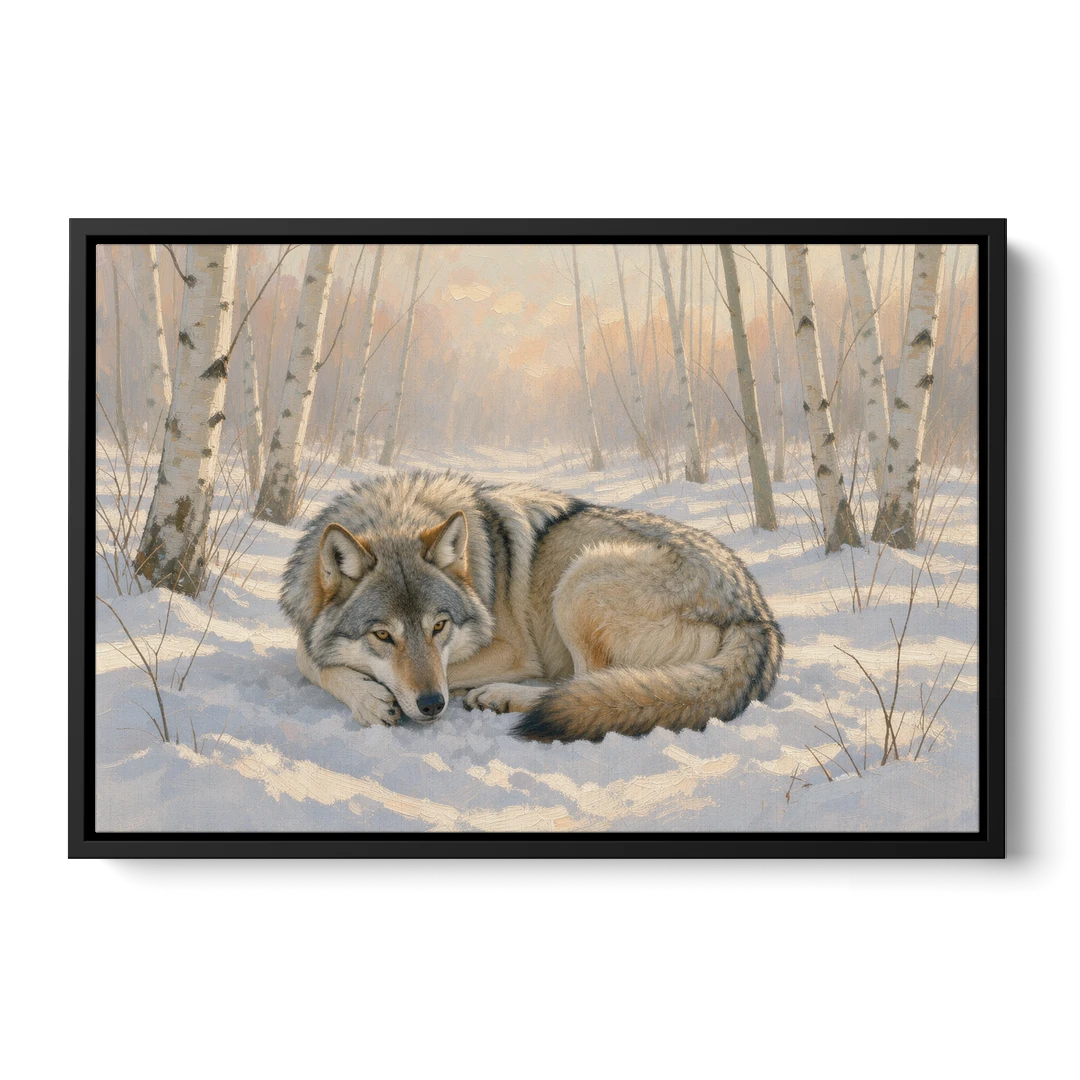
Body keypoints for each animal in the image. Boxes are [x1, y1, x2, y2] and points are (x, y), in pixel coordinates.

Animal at [279, 470, 783, 742]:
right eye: (383, 635)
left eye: (439, 627)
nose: (431, 706)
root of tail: (756, 614)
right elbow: (309, 656)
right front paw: (365, 695)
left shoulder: (512, 651)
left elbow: (315, 659)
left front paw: (372, 695)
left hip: (581, 579)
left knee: (584, 683)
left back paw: (500, 695)